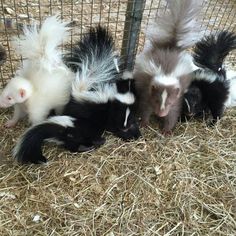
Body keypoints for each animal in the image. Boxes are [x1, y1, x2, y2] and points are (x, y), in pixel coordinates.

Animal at [134, 0, 202, 133]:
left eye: (169, 102)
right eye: (156, 100)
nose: (161, 114)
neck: (166, 73)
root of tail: (170, 46)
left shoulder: (179, 96)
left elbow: (173, 112)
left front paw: (167, 130)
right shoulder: (147, 90)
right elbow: (145, 107)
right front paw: (144, 123)